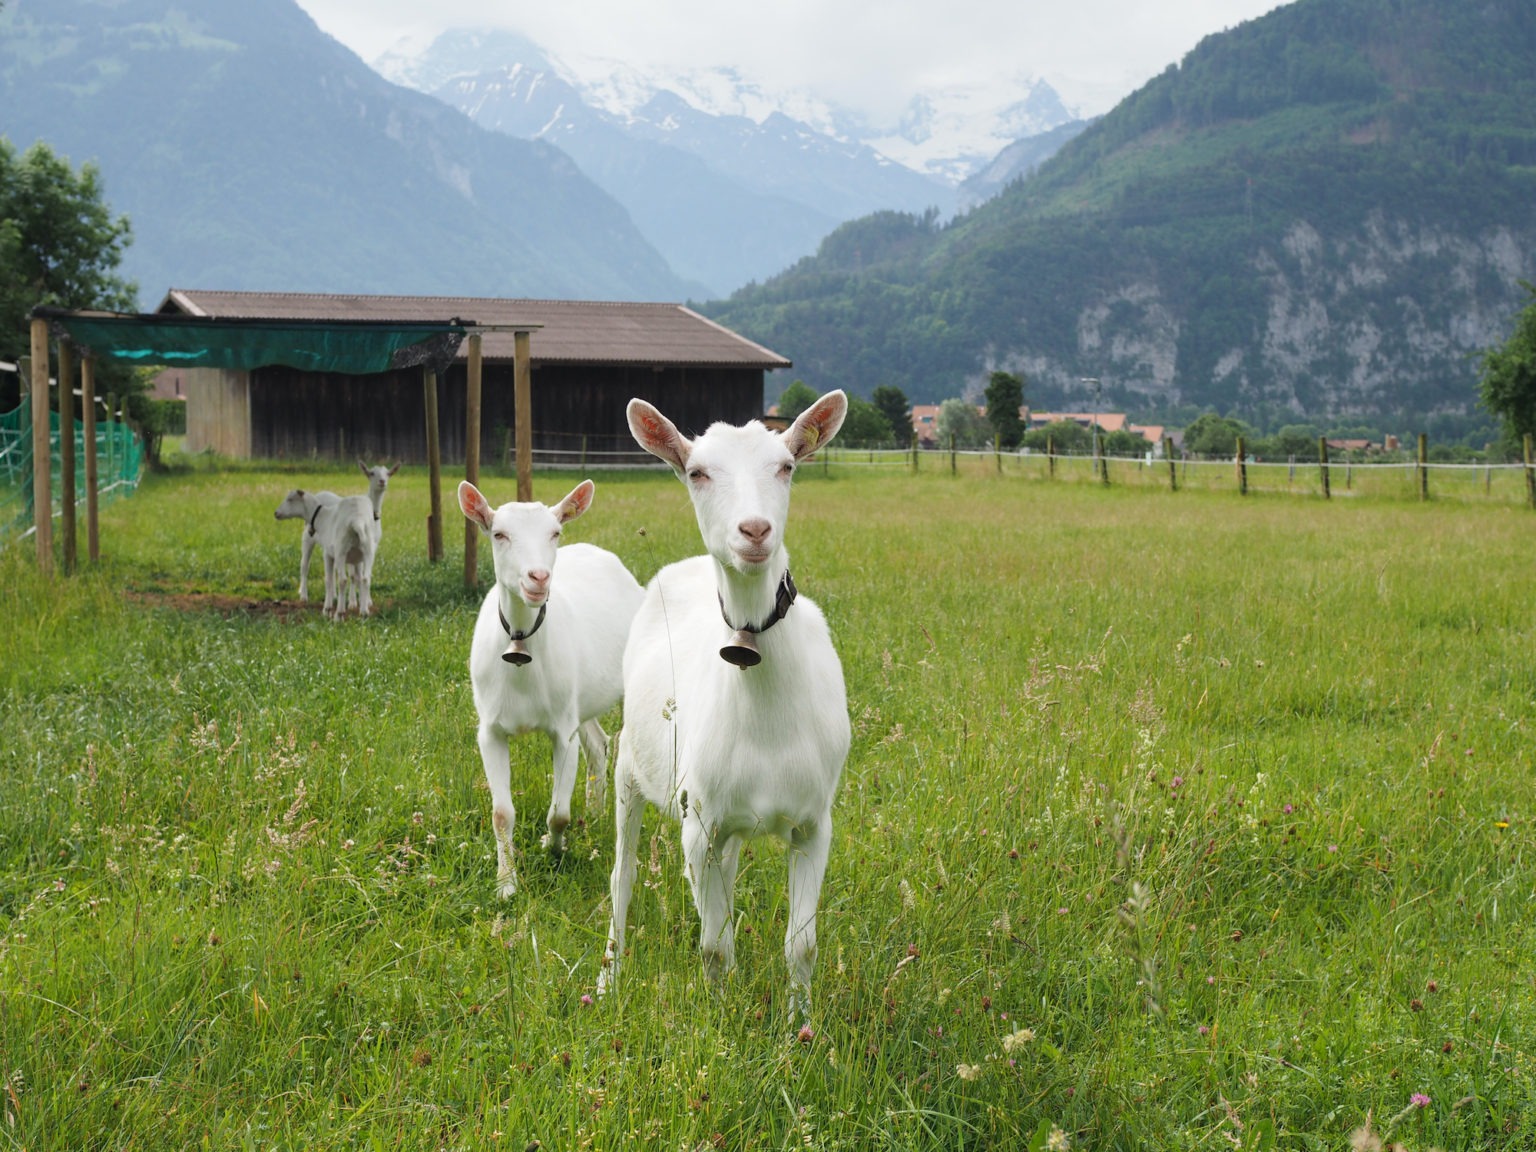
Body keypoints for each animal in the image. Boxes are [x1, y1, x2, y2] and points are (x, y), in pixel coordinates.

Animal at [457, 479, 645, 903]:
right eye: (499, 534)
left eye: (554, 532)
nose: (538, 578)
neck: (521, 648)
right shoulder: (489, 729)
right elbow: (501, 813)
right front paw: (506, 883)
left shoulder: (562, 728)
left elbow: (559, 811)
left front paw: (553, 846)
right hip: (581, 698)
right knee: (598, 744)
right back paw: (596, 812)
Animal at [595, 390, 854, 1019]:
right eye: (697, 472)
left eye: (786, 466)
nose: (754, 530)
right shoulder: (699, 821)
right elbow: (712, 945)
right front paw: (718, 1018)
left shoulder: (814, 822)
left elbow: (801, 945)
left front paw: (800, 1027)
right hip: (629, 771)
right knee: (621, 877)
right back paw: (608, 978)